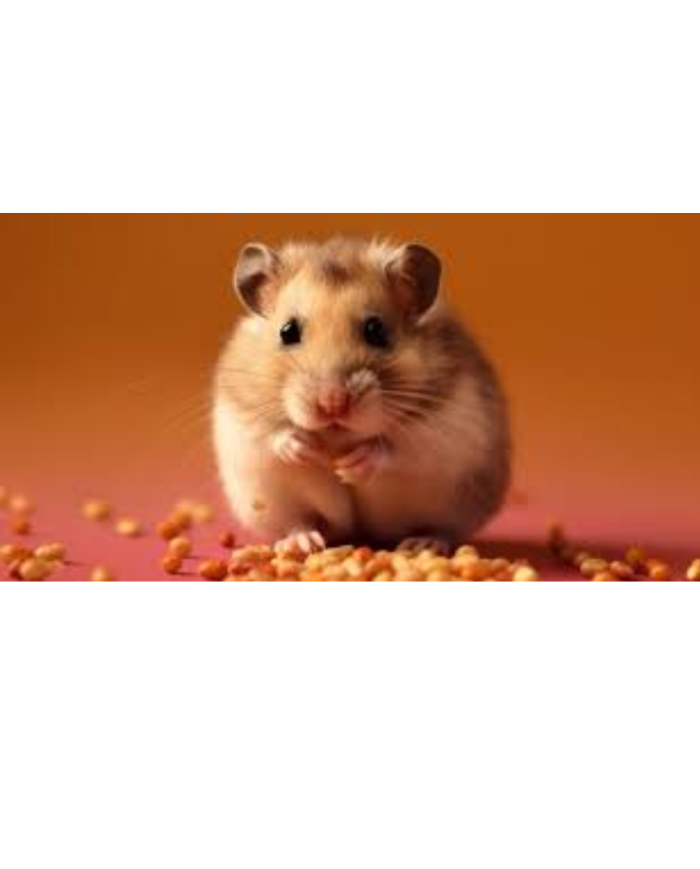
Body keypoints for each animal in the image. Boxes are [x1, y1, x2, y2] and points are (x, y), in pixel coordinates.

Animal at [212, 237, 511, 557]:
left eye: (376, 330)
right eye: (287, 331)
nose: (332, 403)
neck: (338, 435)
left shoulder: (439, 429)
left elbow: (397, 449)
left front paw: (350, 466)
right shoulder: (242, 416)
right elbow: (271, 435)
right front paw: (304, 449)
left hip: (458, 505)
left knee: (442, 530)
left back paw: (422, 544)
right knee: (297, 521)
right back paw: (302, 543)